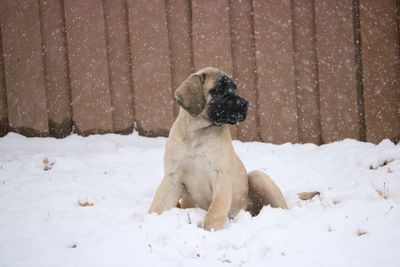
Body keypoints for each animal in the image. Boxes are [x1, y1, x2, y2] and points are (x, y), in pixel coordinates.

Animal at [148, 67, 286, 232]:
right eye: (220, 90)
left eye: (235, 88)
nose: (245, 104)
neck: (198, 133)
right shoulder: (172, 177)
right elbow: (158, 204)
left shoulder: (221, 175)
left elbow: (216, 208)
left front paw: (211, 229)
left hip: (257, 177)